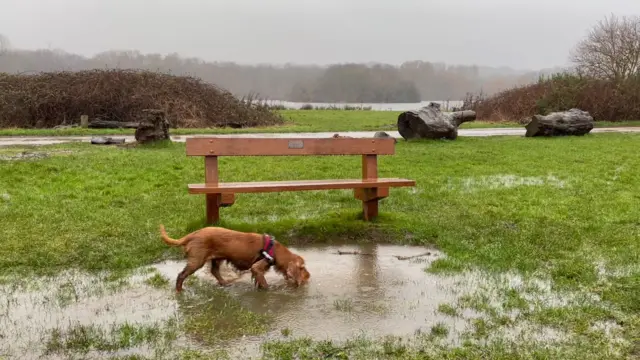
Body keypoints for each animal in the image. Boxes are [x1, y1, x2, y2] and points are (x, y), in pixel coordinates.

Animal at [159, 225, 310, 292]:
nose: (309, 277)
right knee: (181, 275)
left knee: (215, 271)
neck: (274, 250)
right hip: (196, 261)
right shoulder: (257, 267)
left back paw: (225, 283)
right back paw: (180, 290)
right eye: (302, 268)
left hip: (216, 259)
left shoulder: (257, 271)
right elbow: (265, 284)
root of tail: (192, 234)